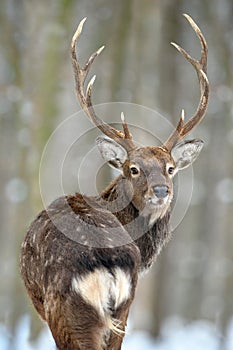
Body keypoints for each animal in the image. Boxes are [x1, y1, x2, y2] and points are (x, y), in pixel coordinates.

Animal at [20, 13, 209, 350]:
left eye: (170, 168)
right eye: (133, 169)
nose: (161, 190)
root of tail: (105, 261)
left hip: (67, 312)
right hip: (121, 310)